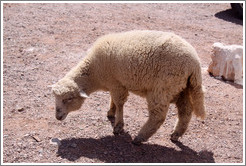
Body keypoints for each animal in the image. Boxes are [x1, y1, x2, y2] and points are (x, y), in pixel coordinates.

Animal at [51, 30, 206, 145]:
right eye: (55, 99)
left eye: (68, 99)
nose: (58, 117)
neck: (94, 73)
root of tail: (195, 63)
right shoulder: (114, 83)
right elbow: (112, 100)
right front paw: (111, 112)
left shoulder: (117, 84)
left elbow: (119, 103)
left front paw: (118, 126)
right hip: (181, 88)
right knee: (186, 111)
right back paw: (176, 134)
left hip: (162, 88)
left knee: (158, 116)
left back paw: (140, 138)